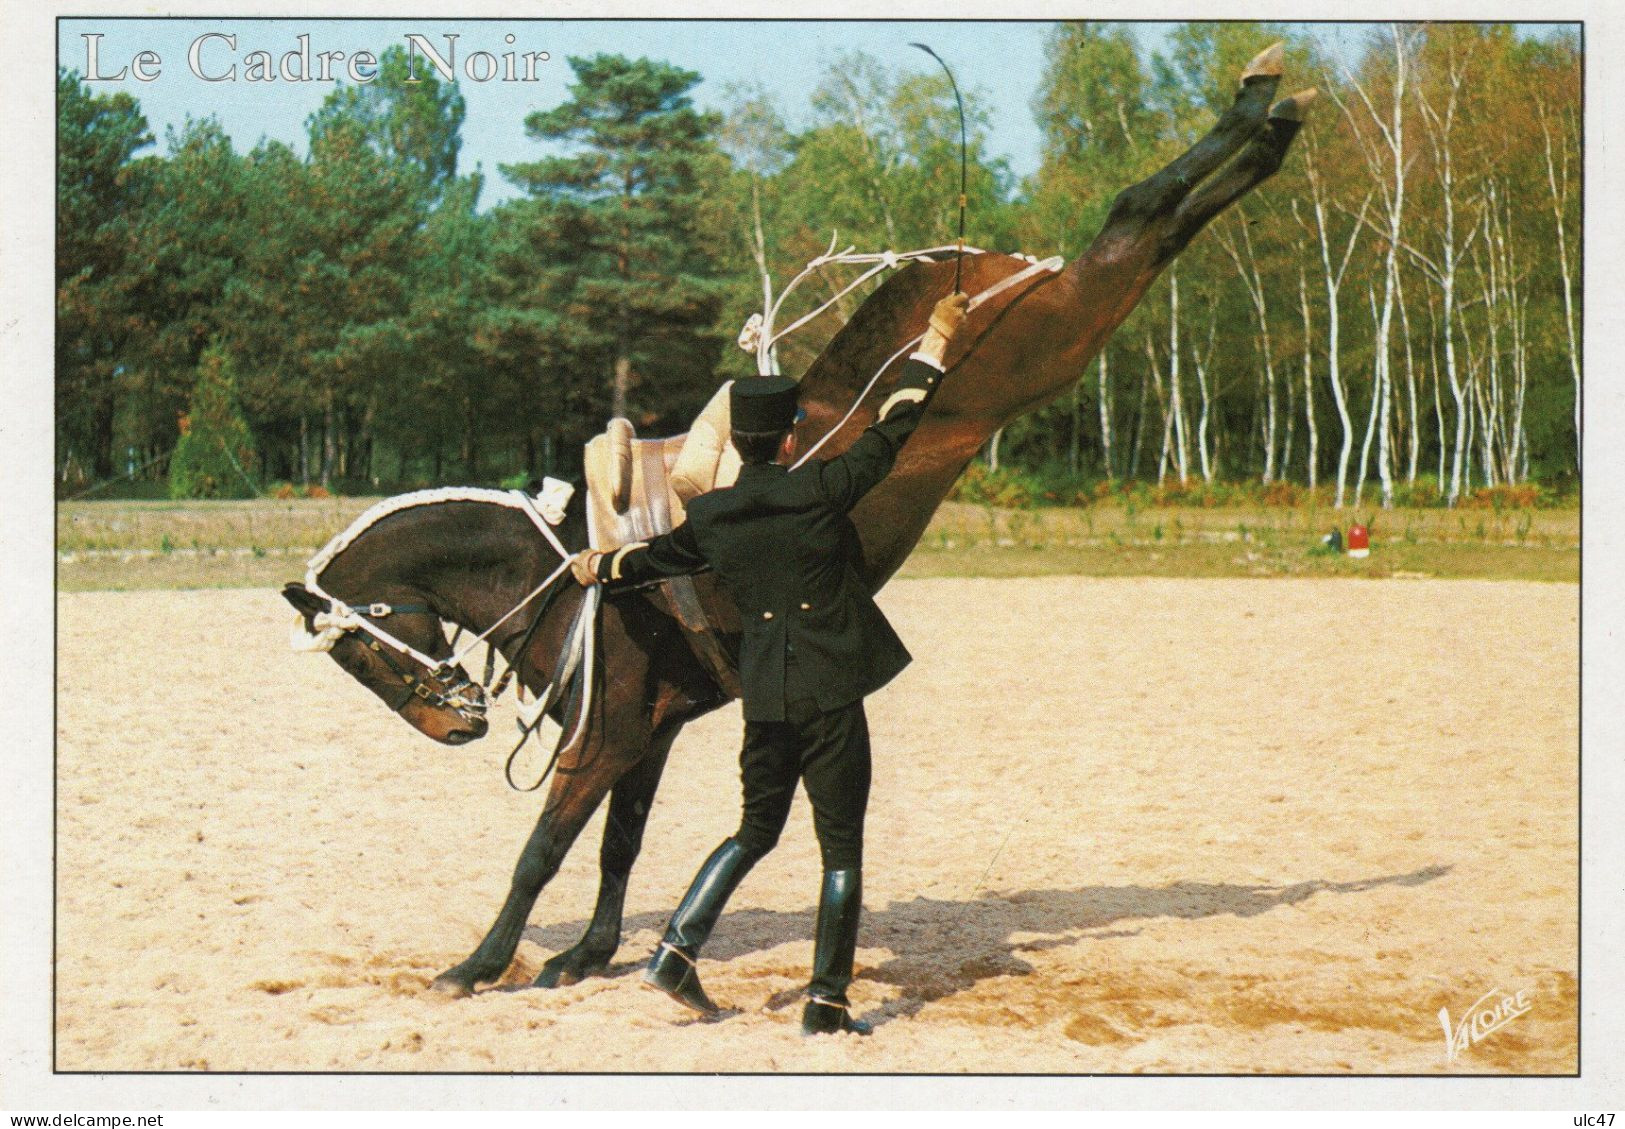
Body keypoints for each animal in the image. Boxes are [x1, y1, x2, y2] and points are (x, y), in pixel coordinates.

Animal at [282, 46, 1319, 1000]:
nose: (450, 725)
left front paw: (480, 964)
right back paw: (1271, 118)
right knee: (1151, 223)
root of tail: (981, 268)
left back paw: (1262, 105)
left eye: (360, 647)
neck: (574, 576)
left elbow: (543, 848)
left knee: (1136, 217)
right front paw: (584, 955)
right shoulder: (646, 735)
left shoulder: (601, 737)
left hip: (1058, 331)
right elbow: (620, 843)